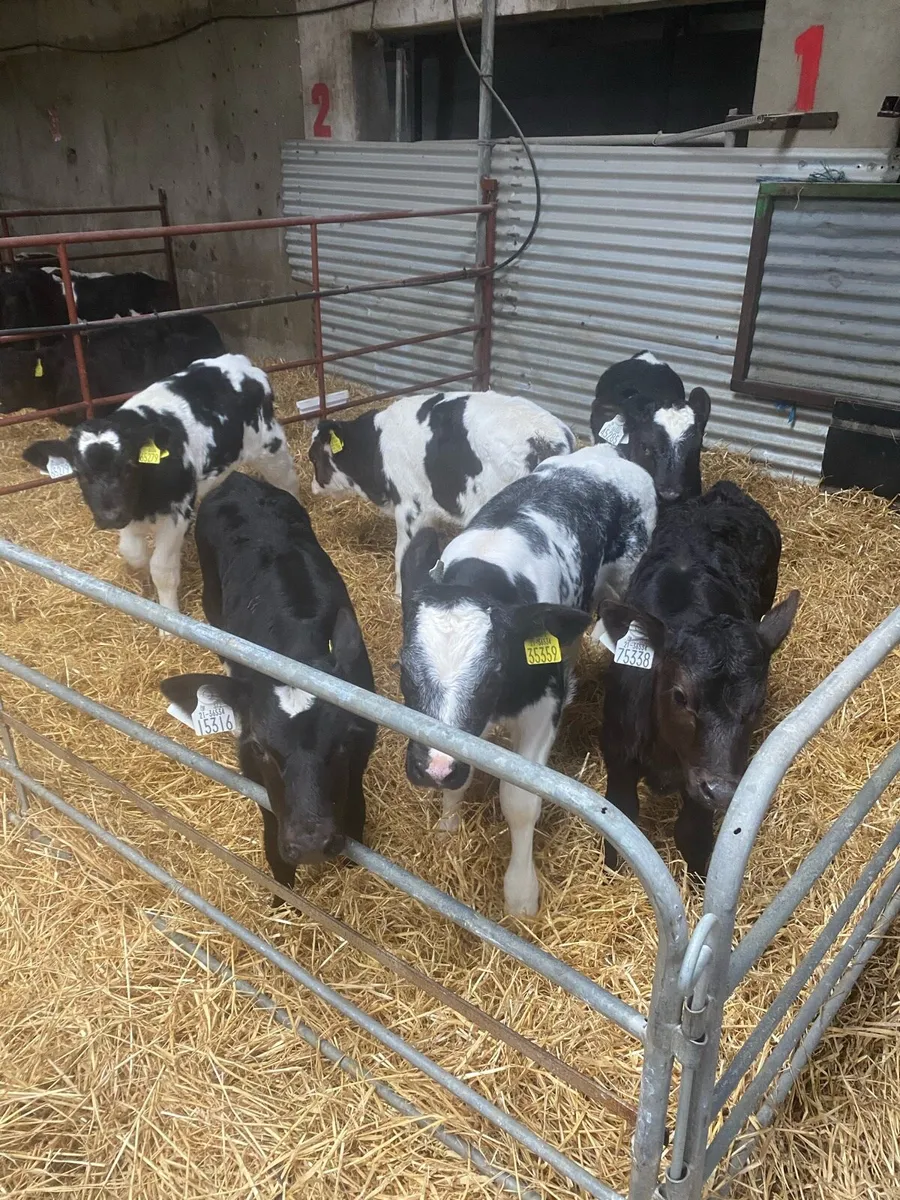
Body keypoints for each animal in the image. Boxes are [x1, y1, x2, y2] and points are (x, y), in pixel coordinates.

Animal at [22, 354, 298, 613]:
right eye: (79, 472)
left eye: (129, 466)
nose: (110, 517)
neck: (144, 502)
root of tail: (238, 362)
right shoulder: (129, 513)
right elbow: (133, 553)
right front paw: (145, 586)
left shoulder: (177, 512)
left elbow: (162, 569)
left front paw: (168, 616)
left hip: (269, 446)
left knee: (287, 480)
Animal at [160, 473, 377, 889]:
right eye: (259, 746)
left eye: (343, 741)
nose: (310, 842)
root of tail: (240, 480)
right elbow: (273, 846)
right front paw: (283, 895)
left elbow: (357, 814)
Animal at [308, 390, 576, 596]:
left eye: (313, 456)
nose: (312, 487)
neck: (376, 447)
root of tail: (549, 437)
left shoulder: (409, 506)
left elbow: (402, 552)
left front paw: (398, 594)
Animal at [398, 443, 657, 916]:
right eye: (402, 669)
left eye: (492, 676)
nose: (436, 769)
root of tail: (609, 450)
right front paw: (447, 822)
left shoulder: (542, 710)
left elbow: (519, 802)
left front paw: (521, 893)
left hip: (628, 573)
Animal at [599, 480, 799, 880]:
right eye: (680, 696)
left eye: (757, 704)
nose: (720, 791)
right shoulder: (618, 752)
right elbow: (621, 822)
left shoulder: (701, 779)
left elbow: (692, 834)